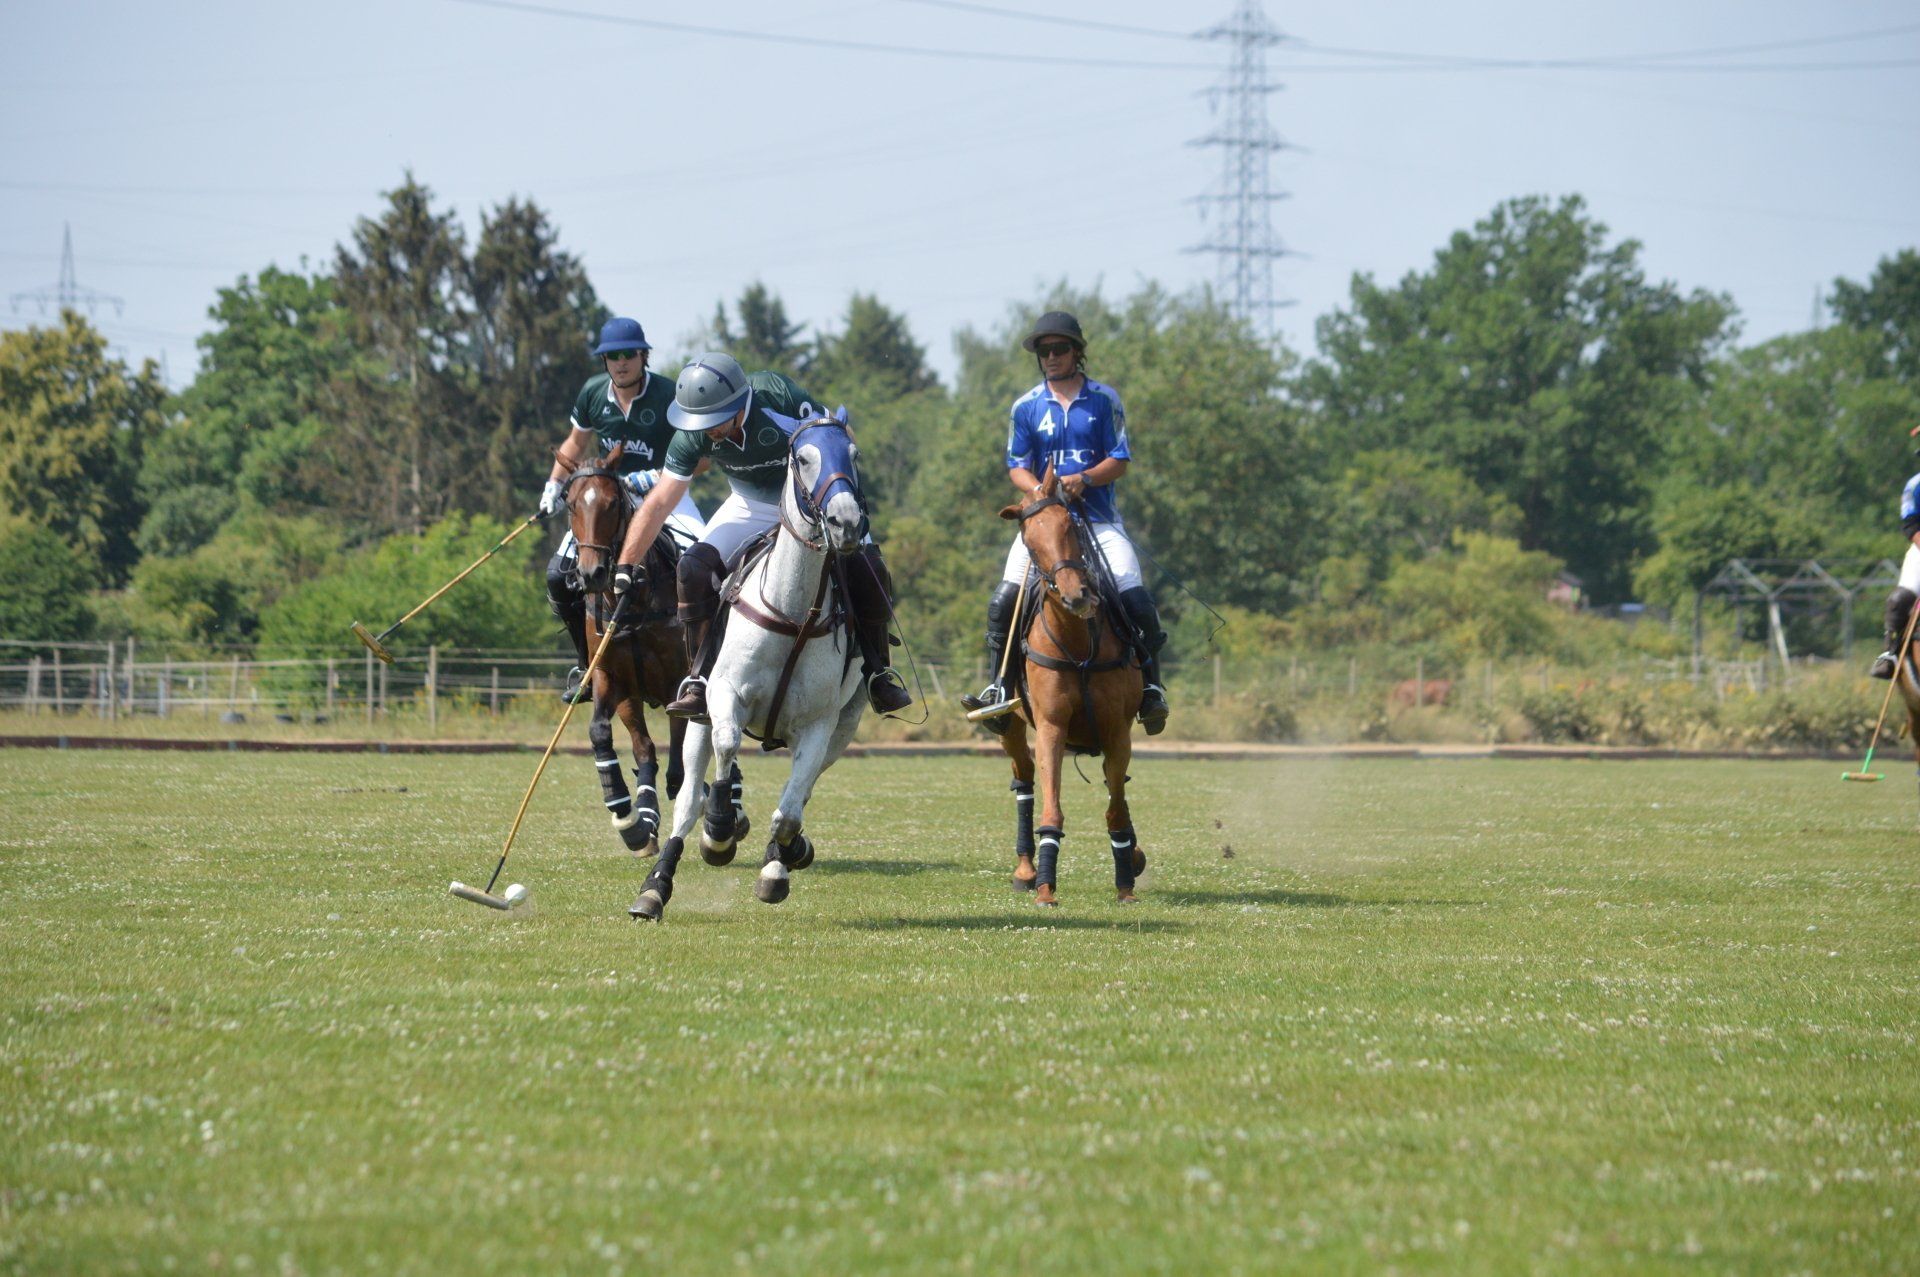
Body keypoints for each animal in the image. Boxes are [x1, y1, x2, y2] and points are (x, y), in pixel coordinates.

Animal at [563, 446, 691, 855]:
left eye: (613, 503)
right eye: (570, 503)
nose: (591, 574)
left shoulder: (679, 682)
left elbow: (680, 759)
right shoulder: (612, 678)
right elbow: (601, 734)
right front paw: (628, 816)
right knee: (645, 747)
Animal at [630, 410, 871, 921]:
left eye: (854, 455)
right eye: (802, 458)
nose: (846, 523)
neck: (793, 612)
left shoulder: (821, 724)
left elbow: (790, 811)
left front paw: (783, 860)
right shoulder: (726, 695)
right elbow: (726, 748)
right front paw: (720, 829)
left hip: (845, 725)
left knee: (801, 791)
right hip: (696, 714)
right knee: (687, 800)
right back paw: (656, 885)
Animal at [995, 469, 1147, 906]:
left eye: (1071, 527)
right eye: (1029, 540)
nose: (1076, 596)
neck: (1079, 645)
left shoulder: (1118, 732)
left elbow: (1115, 808)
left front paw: (1126, 881)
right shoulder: (1052, 726)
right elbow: (1052, 809)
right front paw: (1046, 887)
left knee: (1117, 788)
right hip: (1012, 725)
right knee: (1024, 780)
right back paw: (1026, 870)